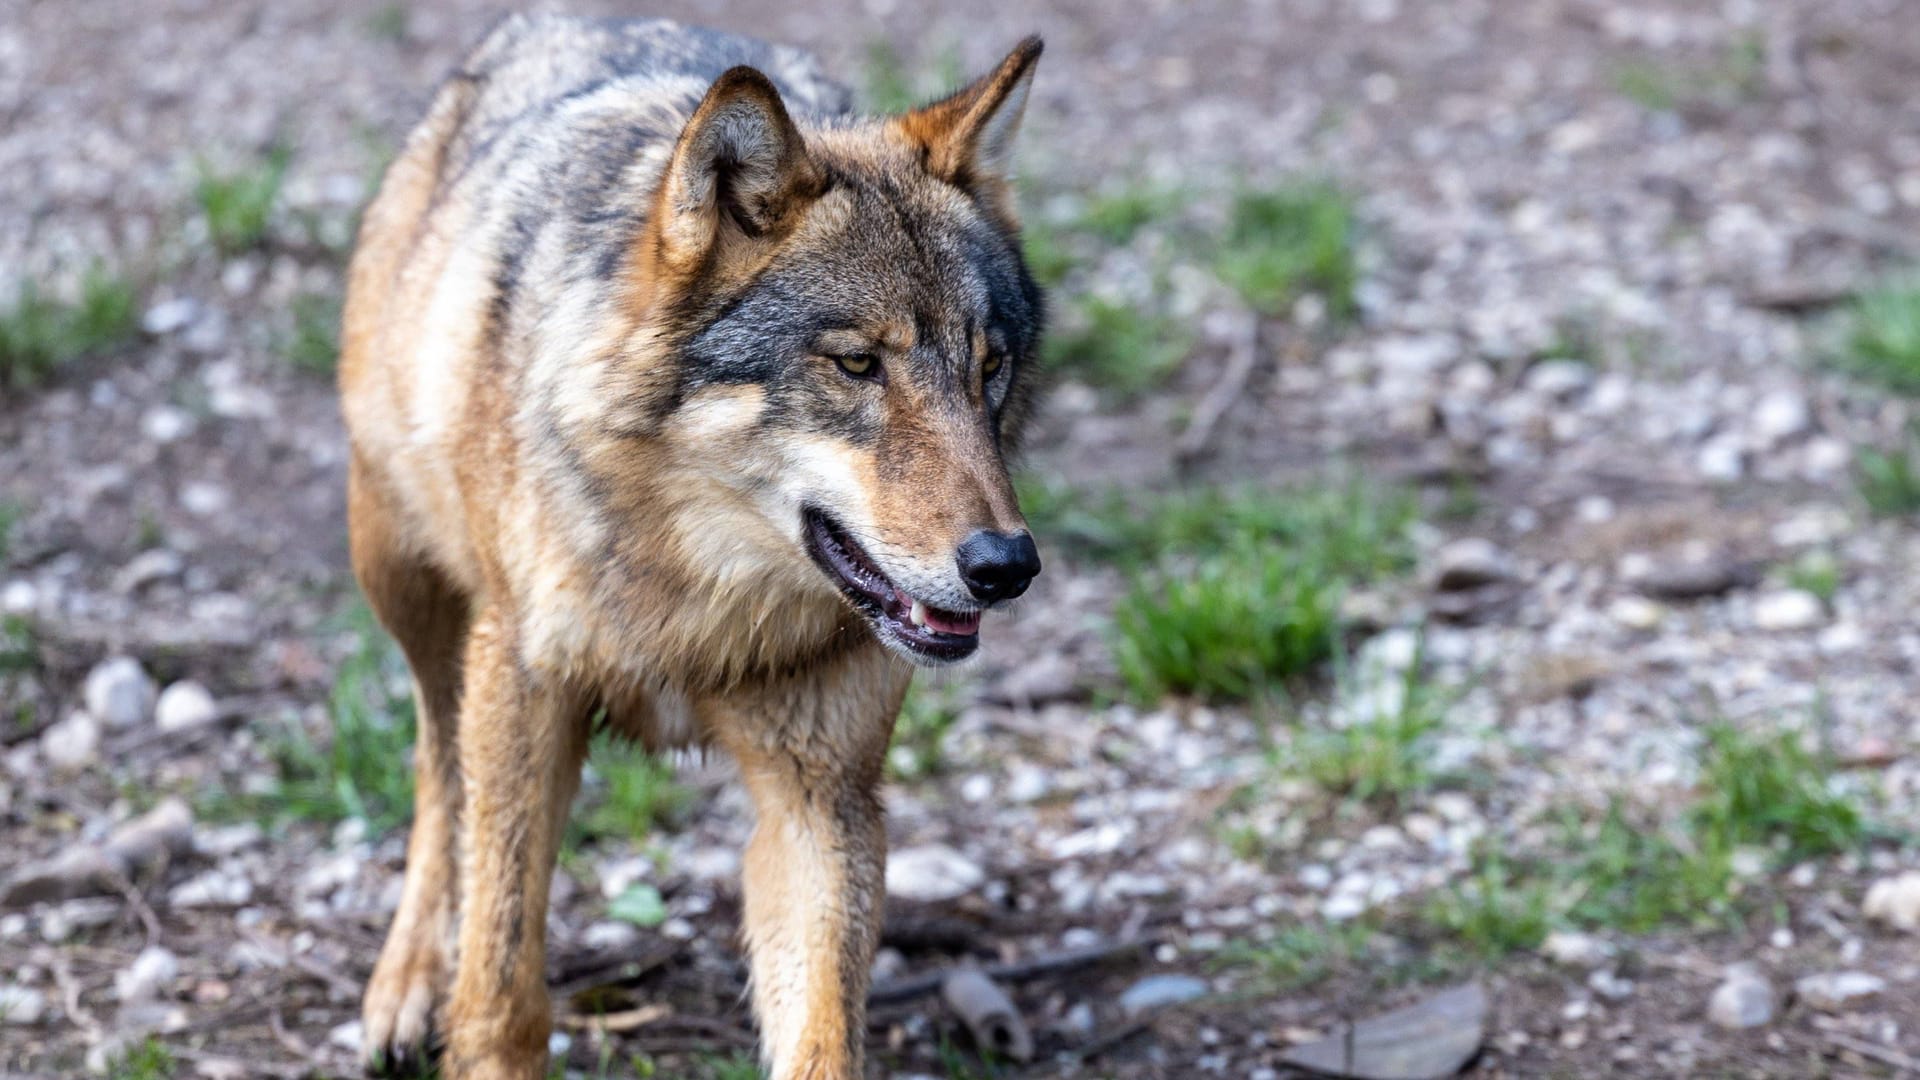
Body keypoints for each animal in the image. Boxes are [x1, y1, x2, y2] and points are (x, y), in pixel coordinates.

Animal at [337, 14, 1044, 1076]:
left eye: (989, 366)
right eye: (857, 365)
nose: (1007, 566)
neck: (698, 605)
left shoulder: (821, 796)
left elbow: (823, 1036)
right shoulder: (525, 695)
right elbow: (501, 981)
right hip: (408, 583)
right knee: (436, 766)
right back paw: (407, 983)